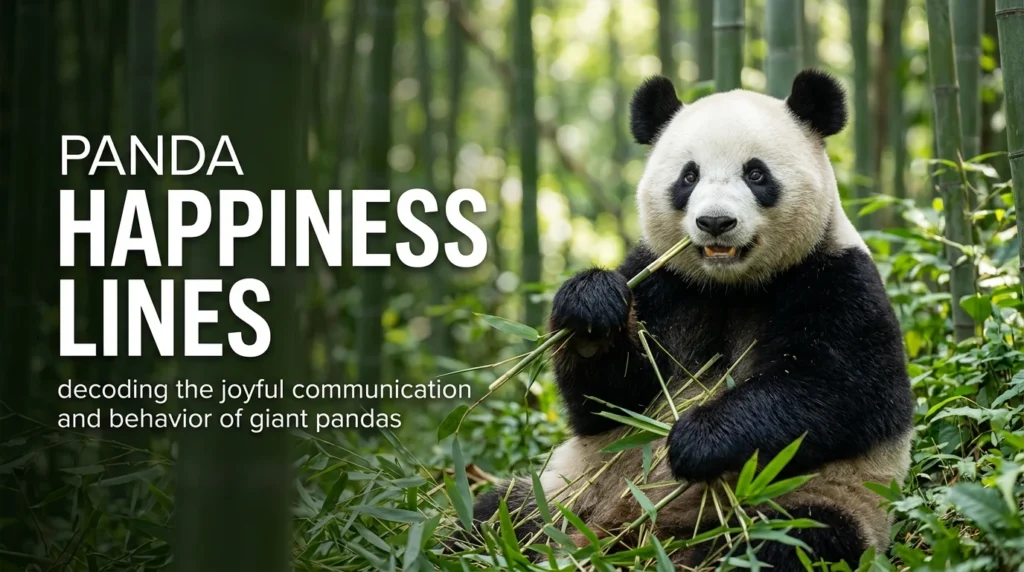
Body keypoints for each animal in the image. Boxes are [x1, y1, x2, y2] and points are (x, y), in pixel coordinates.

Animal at [468, 70, 915, 568]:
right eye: (689, 175)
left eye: (756, 173)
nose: (715, 222)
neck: (731, 286)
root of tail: (622, 537)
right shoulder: (664, 282)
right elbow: (606, 402)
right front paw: (590, 309)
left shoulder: (837, 280)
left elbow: (843, 391)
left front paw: (696, 440)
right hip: (563, 494)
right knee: (494, 516)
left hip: (818, 502)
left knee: (793, 540)